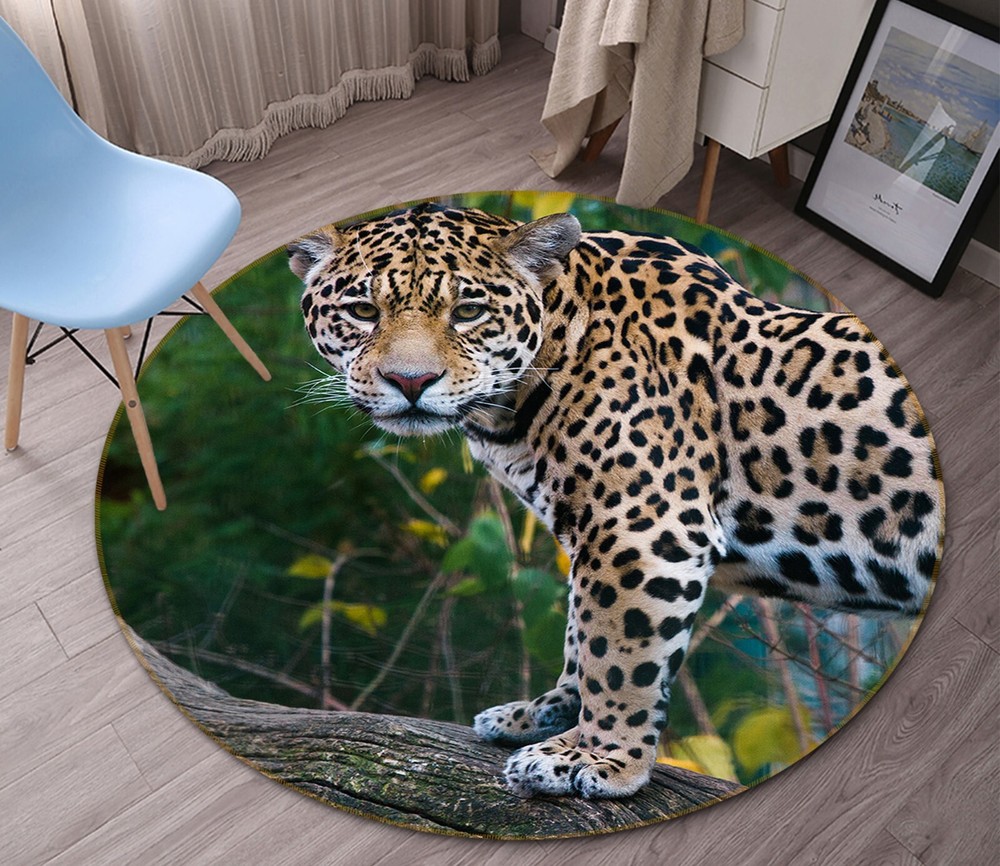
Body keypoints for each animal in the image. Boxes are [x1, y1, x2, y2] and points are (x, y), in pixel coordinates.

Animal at [289, 202, 943, 800]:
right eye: (363, 311)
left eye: (468, 312)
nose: (411, 382)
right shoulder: (590, 531)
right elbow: (581, 635)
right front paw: (543, 716)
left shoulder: (643, 527)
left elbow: (617, 651)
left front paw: (598, 759)